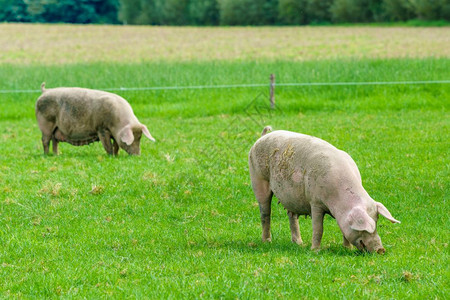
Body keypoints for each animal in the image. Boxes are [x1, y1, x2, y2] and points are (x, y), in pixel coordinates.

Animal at [250, 126, 400, 253]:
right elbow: (318, 228)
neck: (338, 200)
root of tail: (262, 137)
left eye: (377, 222)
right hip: (258, 179)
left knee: (292, 216)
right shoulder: (315, 202)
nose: (380, 250)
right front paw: (315, 250)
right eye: (366, 228)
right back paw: (267, 241)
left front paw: (347, 248)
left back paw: (299, 243)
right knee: (265, 213)